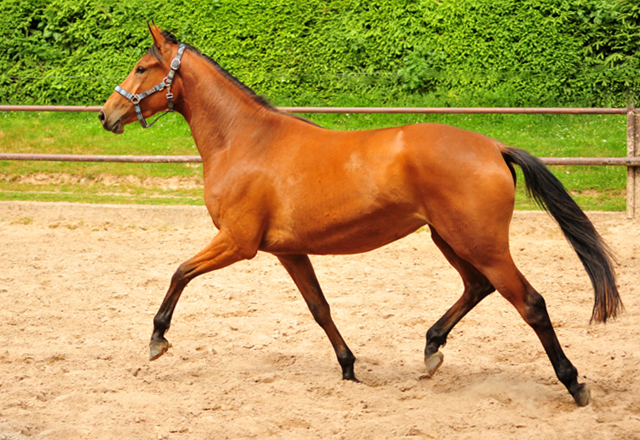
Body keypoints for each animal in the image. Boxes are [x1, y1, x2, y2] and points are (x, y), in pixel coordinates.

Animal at [99, 24, 620, 406]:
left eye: (143, 67)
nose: (107, 115)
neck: (246, 140)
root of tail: (493, 146)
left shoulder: (237, 243)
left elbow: (179, 272)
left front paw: (158, 339)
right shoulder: (288, 251)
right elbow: (320, 308)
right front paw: (349, 367)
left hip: (480, 243)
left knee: (529, 303)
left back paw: (574, 383)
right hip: (449, 238)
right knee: (478, 287)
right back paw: (431, 349)